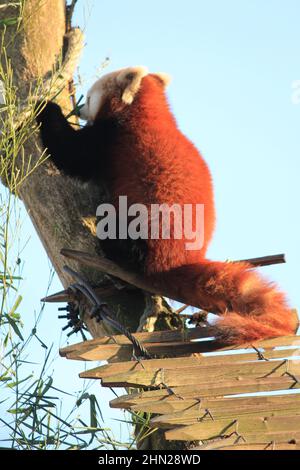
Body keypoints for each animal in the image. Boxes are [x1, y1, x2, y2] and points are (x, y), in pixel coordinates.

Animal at [35, 66, 298, 346]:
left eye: (91, 95)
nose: (81, 107)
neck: (148, 112)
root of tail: (179, 260)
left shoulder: (109, 140)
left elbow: (70, 154)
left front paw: (46, 106)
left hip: (145, 235)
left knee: (113, 236)